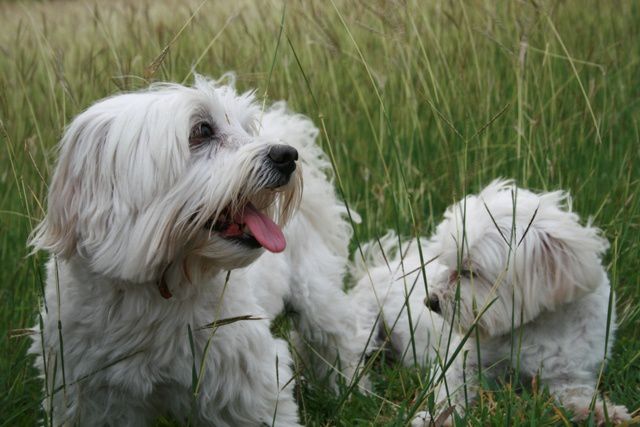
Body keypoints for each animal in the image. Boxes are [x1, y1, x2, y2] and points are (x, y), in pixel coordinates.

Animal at [30, 75, 370, 426]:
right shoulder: (90, 393)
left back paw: (349, 389)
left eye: (247, 129)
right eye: (202, 130)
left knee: (339, 336)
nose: (286, 155)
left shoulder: (247, 384)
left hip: (316, 293)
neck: (161, 288)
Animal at [356, 180, 632, 424]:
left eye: (469, 272)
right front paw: (438, 418)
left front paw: (604, 412)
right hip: (366, 325)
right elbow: (451, 392)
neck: (531, 328)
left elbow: (577, 395)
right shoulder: (462, 358)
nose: (430, 301)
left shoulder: (567, 375)